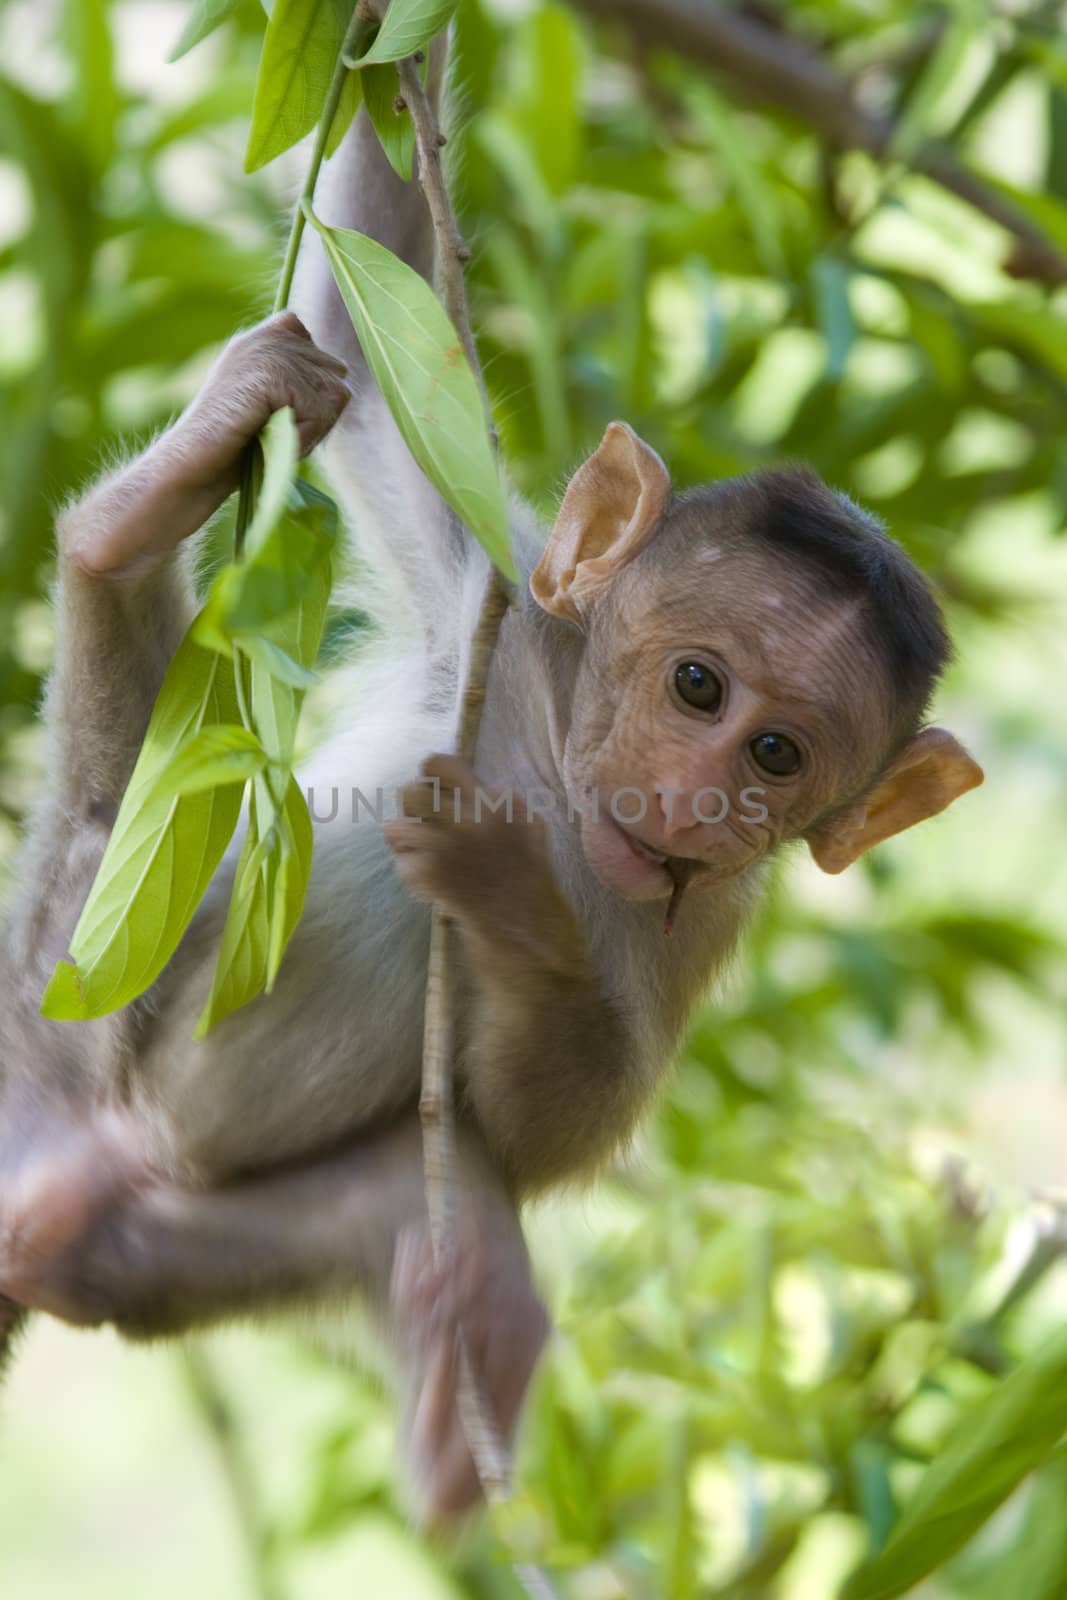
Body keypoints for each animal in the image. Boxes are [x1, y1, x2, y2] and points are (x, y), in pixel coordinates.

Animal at [0, 93, 985, 1516]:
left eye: (777, 756)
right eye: (697, 685)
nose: (693, 802)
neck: (554, 769)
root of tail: (56, 1163)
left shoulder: (704, 916)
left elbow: (549, 1130)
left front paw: (508, 896)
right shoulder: (495, 593)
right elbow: (367, 312)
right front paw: (374, 68)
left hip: (161, 1242)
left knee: (437, 1213)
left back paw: (458, 1423)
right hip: (62, 998)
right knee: (123, 840)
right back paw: (130, 525)